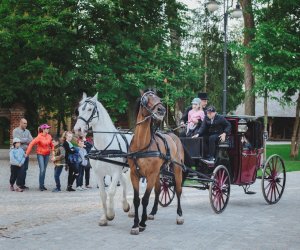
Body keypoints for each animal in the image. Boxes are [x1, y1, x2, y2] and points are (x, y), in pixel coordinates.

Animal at [73, 93, 133, 226]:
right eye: (79, 110)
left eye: (90, 109)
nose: (77, 129)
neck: (104, 145)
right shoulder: (99, 173)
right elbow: (102, 194)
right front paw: (104, 218)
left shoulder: (115, 172)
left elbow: (111, 191)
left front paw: (110, 214)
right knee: (125, 182)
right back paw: (126, 206)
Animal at [129, 91, 185, 235]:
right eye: (145, 99)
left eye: (159, 98)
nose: (162, 110)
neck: (142, 146)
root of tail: (172, 134)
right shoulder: (134, 174)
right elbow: (137, 200)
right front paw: (135, 224)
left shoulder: (151, 175)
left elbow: (145, 199)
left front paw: (142, 223)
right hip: (159, 172)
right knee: (159, 189)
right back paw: (153, 212)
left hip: (177, 169)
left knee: (178, 190)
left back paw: (179, 215)